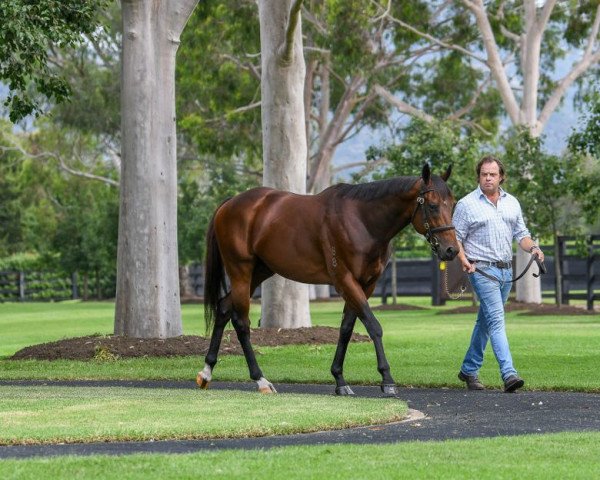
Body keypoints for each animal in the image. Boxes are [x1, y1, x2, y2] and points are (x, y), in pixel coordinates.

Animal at [197, 163, 460, 396]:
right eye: (433, 206)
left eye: (453, 204)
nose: (451, 250)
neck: (362, 220)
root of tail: (229, 204)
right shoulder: (344, 280)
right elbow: (373, 325)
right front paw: (387, 380)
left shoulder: (366, 284)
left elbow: (346, 328)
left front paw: (339, 380)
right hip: (241, 271)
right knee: (241, 322)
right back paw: (261, 380)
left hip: (260, 271)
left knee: (223, 308)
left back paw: (207, 371)